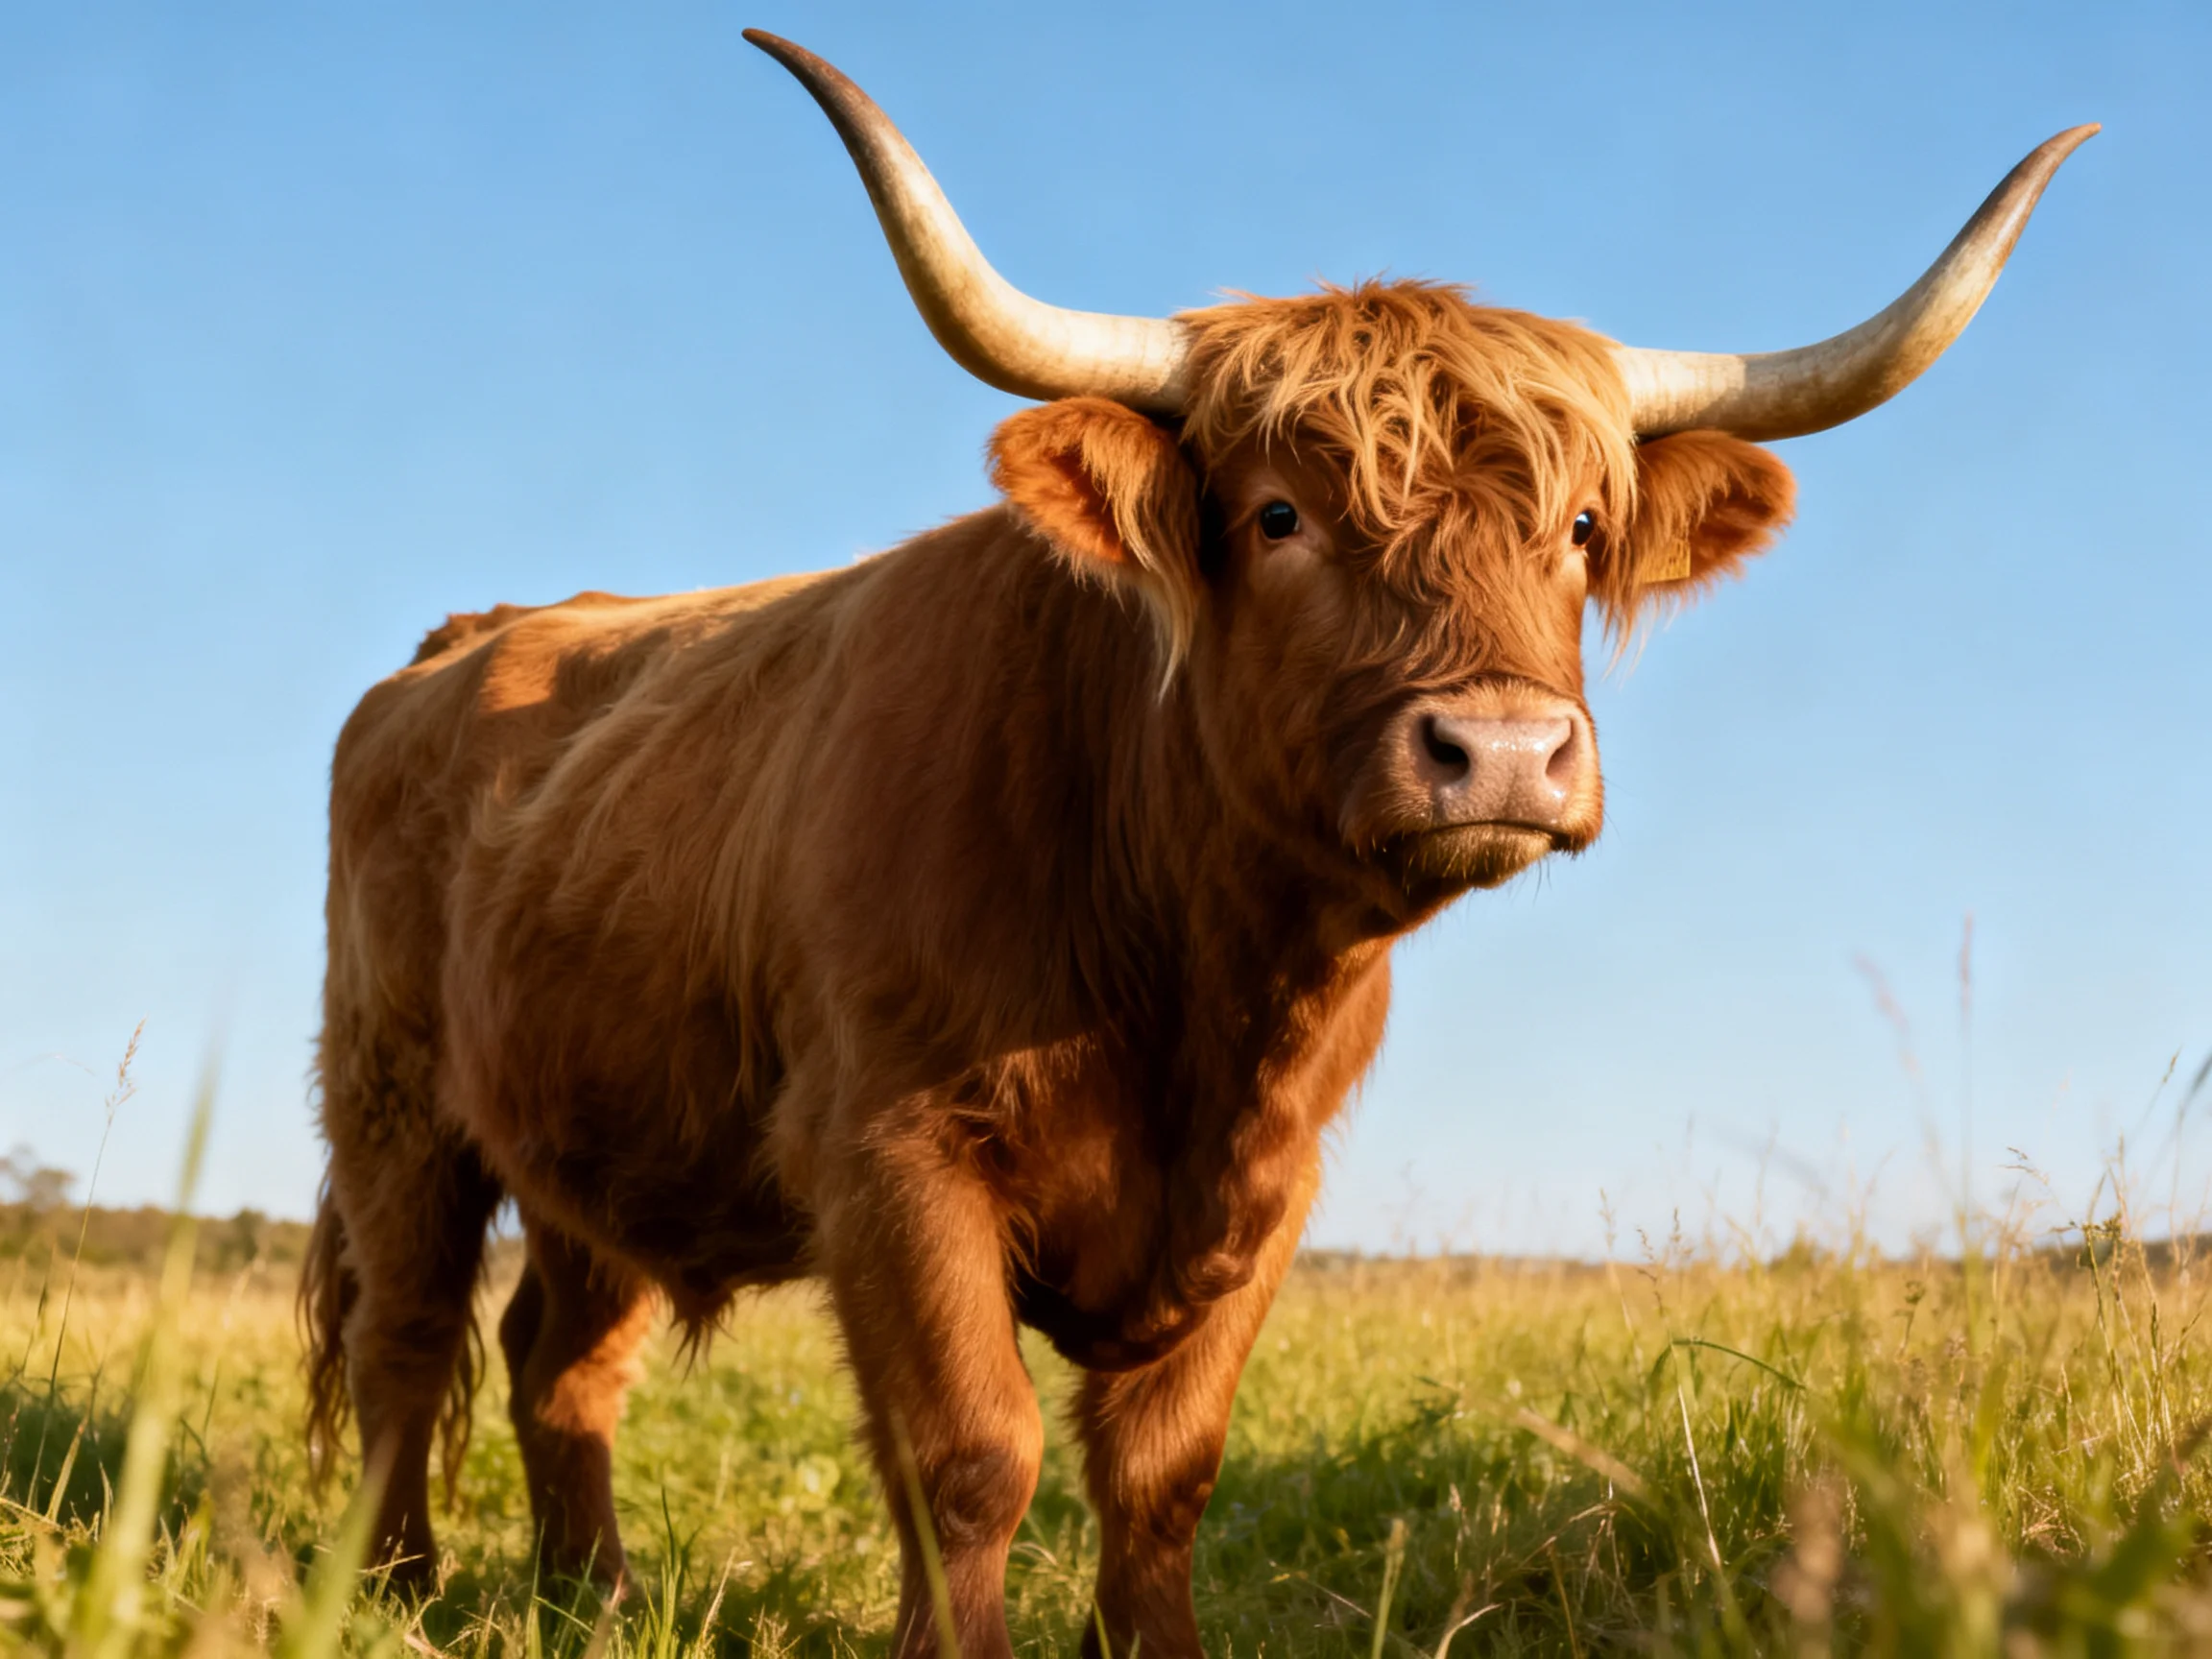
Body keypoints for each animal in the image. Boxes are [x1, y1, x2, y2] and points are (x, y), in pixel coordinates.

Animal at [299, 29, 2092, 1659]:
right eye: (1278, 515)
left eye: (1581, 529)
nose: (1502, 752)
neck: (1198, 984)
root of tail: (475, 635)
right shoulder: (890, 1148)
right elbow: (971, 1452)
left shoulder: (1269, 1190)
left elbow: (1165, 1470)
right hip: (395, 1093)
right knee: (407, 1332)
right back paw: (395, 1594)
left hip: (595, 1131)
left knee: (557, 1357)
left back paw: (586, 1599)